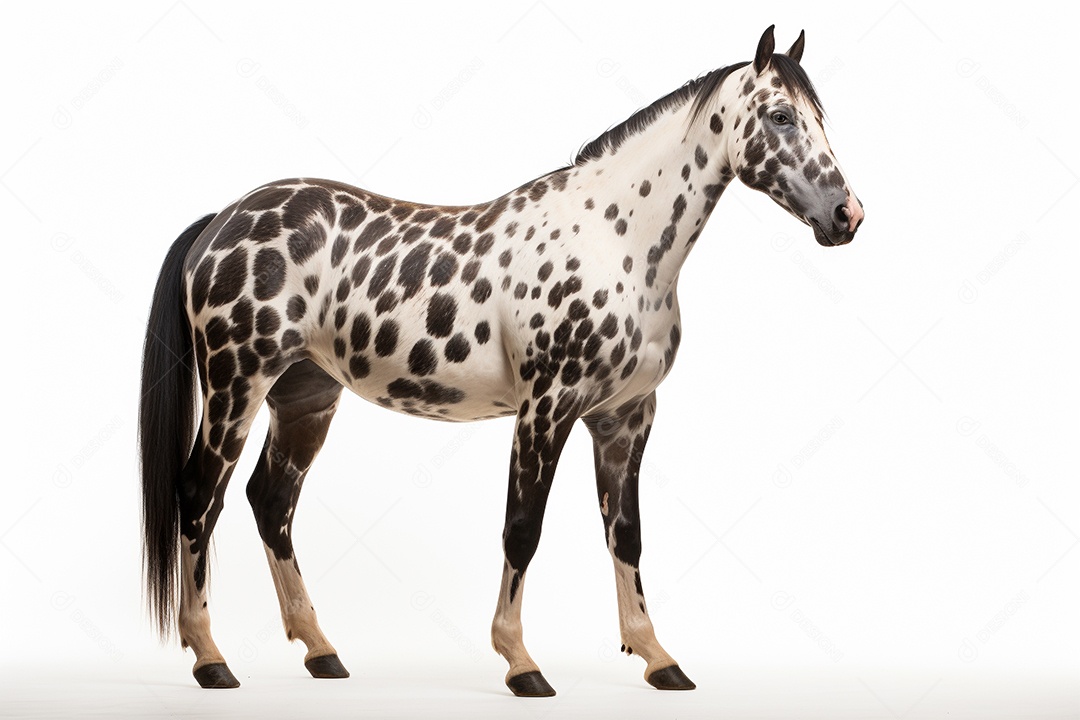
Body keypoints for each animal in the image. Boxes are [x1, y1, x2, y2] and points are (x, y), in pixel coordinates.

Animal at [139, 25, 863, 695]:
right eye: (781, 115)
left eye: (820, 116)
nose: (846, 215)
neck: (615, 239)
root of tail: (222, 220)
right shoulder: (546, 410)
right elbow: (523, 529)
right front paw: (521, 663)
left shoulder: (626, 417)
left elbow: (626, 535)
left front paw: (658, 658)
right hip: (236, 385)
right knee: (200, 496)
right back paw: (210, 658)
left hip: (305, 397)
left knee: (271, 502)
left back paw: (322, 651)